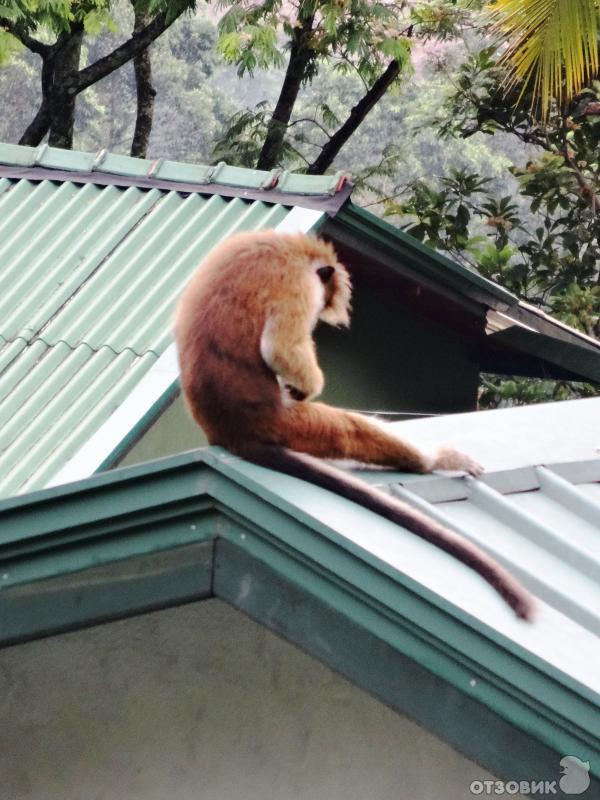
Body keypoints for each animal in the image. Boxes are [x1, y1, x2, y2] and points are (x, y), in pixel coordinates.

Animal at [173, 228, 536, 620]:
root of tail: (231, 431)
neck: (289, 249)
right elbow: (281, 350)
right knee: (348, 430)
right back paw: (432, 460)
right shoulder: (297, 281)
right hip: (284, 421)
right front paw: (305, 384)